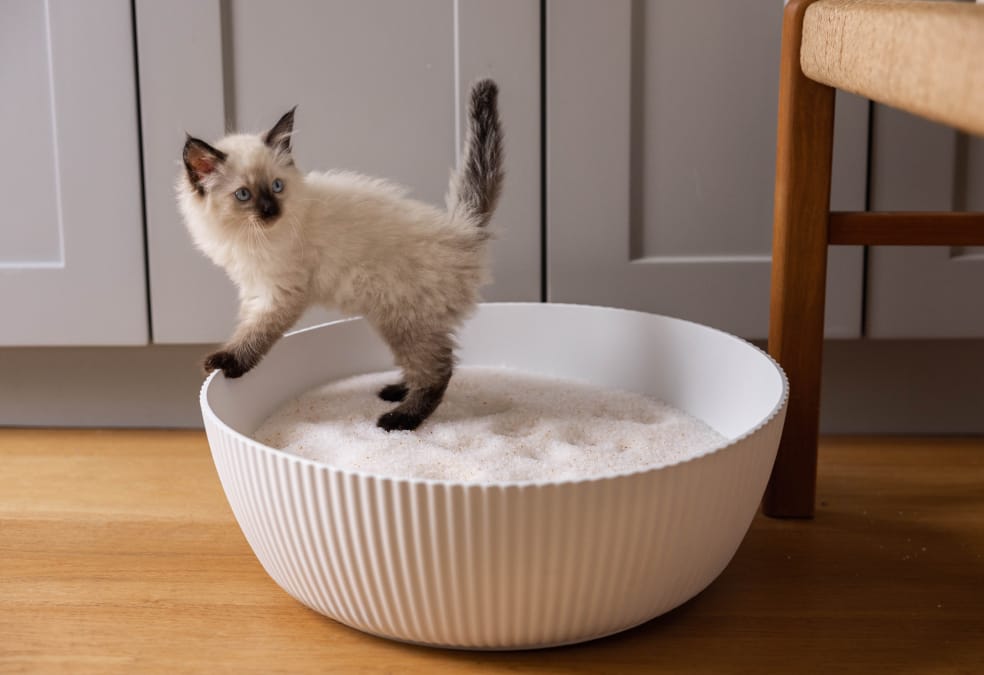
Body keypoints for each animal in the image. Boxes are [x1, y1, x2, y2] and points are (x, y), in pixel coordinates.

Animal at [177, 79, 504, 434]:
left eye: (277, 186)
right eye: (243, 195)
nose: (270, 210)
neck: (249, 238)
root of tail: (461, 229)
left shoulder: (279, 294)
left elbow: (255, 334)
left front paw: (227, 361)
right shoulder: (255, 288)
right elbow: (246, 326)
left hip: (404, 321)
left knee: (438, 372)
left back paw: (399, 419)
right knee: (429, 365)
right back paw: (396, 391)